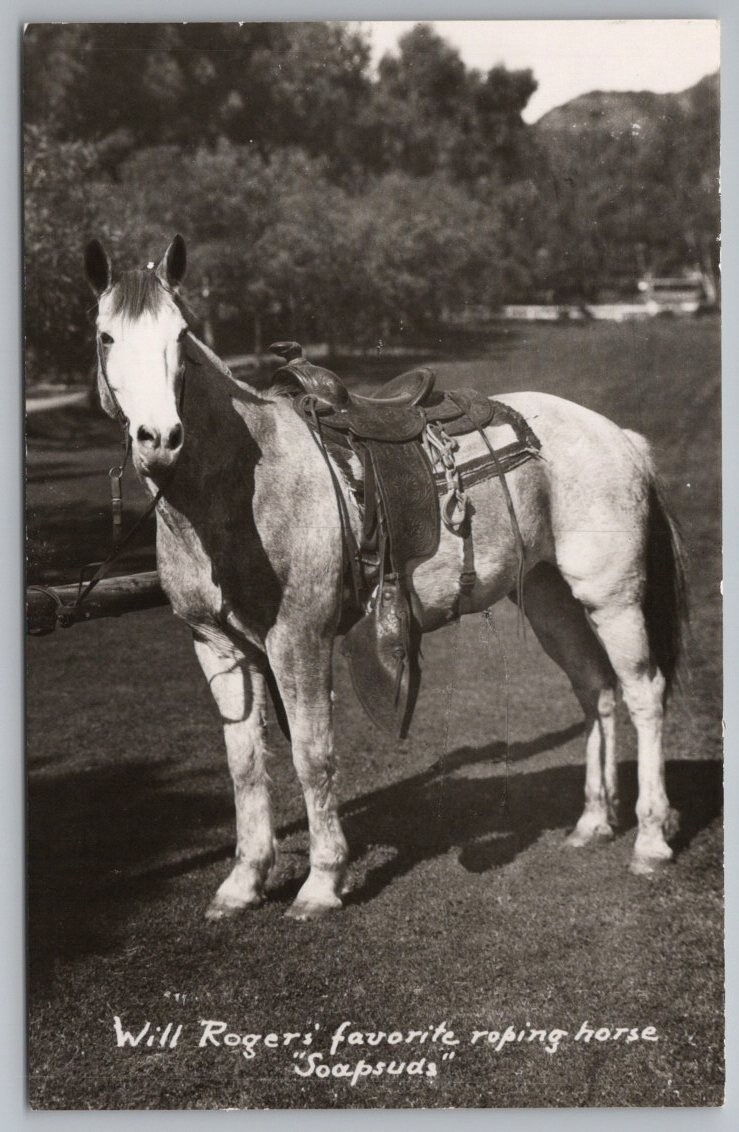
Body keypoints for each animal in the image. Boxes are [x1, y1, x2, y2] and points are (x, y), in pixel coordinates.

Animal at [84, 235, 687, 921]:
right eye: (105, 336)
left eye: (181, 335)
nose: (159, 437)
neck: (241, 488)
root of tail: (618, 436)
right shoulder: (216, 646)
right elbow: (244, 764)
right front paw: (243, 882)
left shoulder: (298, 640)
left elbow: (312, 756)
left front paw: (321, 883)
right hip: (550, 599)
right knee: (596, 691)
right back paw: (592, 823)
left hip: (612, 599)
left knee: (643, 694)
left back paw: (650, 840)